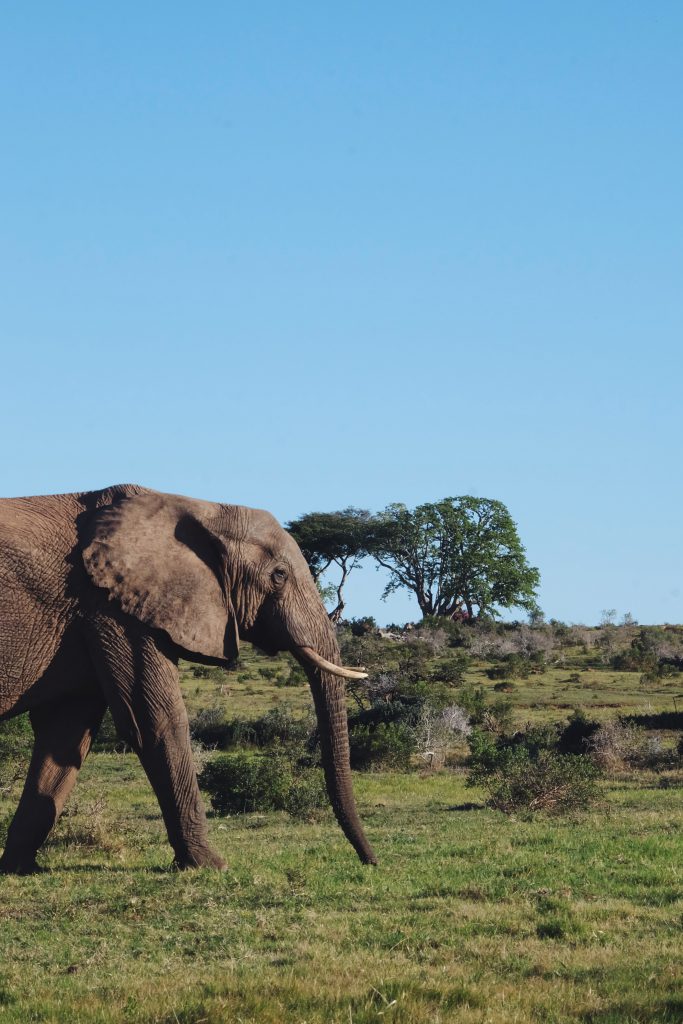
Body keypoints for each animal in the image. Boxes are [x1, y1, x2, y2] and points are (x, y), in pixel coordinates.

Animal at [0, 485, 378, 872]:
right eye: (279, 575)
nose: (371, 861)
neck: (201, 509)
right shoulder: (115, 609)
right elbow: (154, 720)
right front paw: (210, 865)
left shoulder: (91, 615)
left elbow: (65, 736)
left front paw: (21, 869)